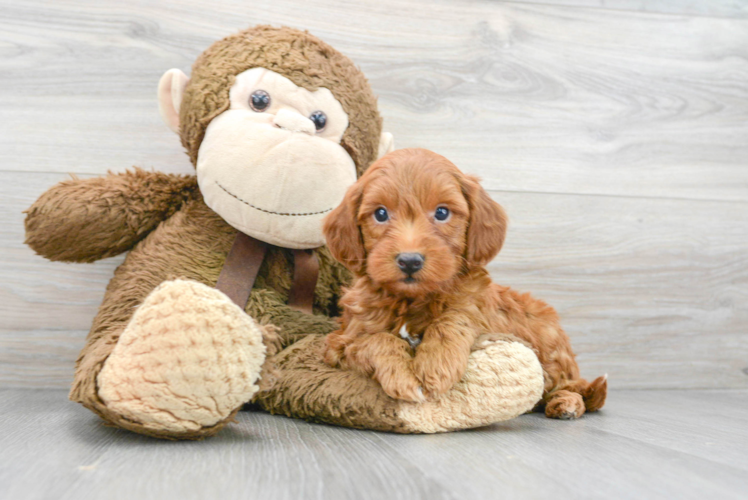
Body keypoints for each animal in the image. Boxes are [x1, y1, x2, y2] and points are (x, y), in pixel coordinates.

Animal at [322, 147, 608, 418]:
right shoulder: (341, 343)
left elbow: (453, 319)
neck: (413, 299)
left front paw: (436, 365)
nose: (410, 261)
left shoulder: (476, 308)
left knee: (571, 385)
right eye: (380, 214)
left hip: (549, 344)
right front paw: (402, 375)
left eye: (442, 212)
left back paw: (567, 403)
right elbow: (376, 340)